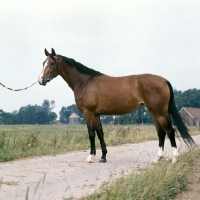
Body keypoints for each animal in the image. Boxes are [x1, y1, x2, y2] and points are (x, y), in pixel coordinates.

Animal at [38, 48, 195, 164]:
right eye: (43, 62)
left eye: (52, 63)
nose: (41, 80)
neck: (85, 82)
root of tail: (164, 80)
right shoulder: (96, 114)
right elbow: (100, 133)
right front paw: (103, 157)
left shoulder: (88, 113)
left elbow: (91, 134)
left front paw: (90, 156)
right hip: (153, 112)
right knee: (161, 132)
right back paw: (158, 159)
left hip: (159, 113)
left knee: (170, 131)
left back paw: (174, 159)